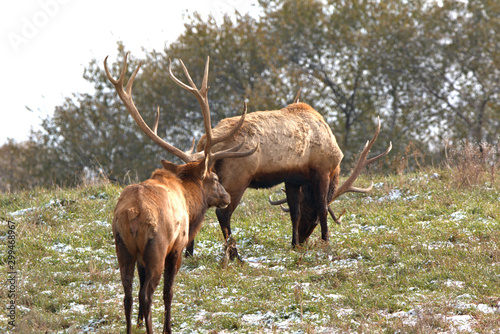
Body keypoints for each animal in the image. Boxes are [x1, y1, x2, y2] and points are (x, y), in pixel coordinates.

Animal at [104, 53, 256, 332]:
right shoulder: (178, 245)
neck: (189, 200)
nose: (227, 196)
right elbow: (169, 292)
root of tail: (132, 214)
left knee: (128, 294)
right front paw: (168, 327)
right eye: (215, 177)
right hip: (155, 247)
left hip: (122, 247)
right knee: (148, 294)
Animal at [188, 98, 390, 260]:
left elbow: (294, 211)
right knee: (223, 213)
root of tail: (205, 143)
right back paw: (234, 255)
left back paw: (190, 253)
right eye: (313, 220)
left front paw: (294, 245)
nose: (303, 238)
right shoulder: (322, 171)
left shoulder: (293, 179)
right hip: (238, 176)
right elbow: (322, 207)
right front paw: (326, 242)